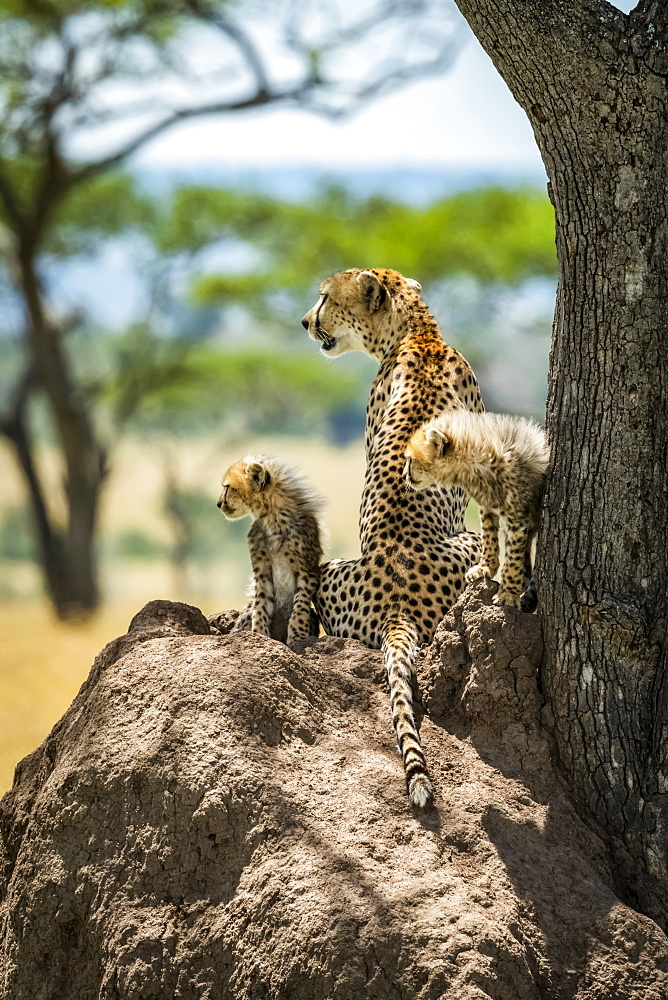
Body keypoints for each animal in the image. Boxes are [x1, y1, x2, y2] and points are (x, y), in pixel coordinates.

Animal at [304, 266, 486, 804]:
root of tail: (396, 606)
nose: (305, 322)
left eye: (325, 298)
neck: (417, 332)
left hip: (332, 569)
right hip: (466, 541)